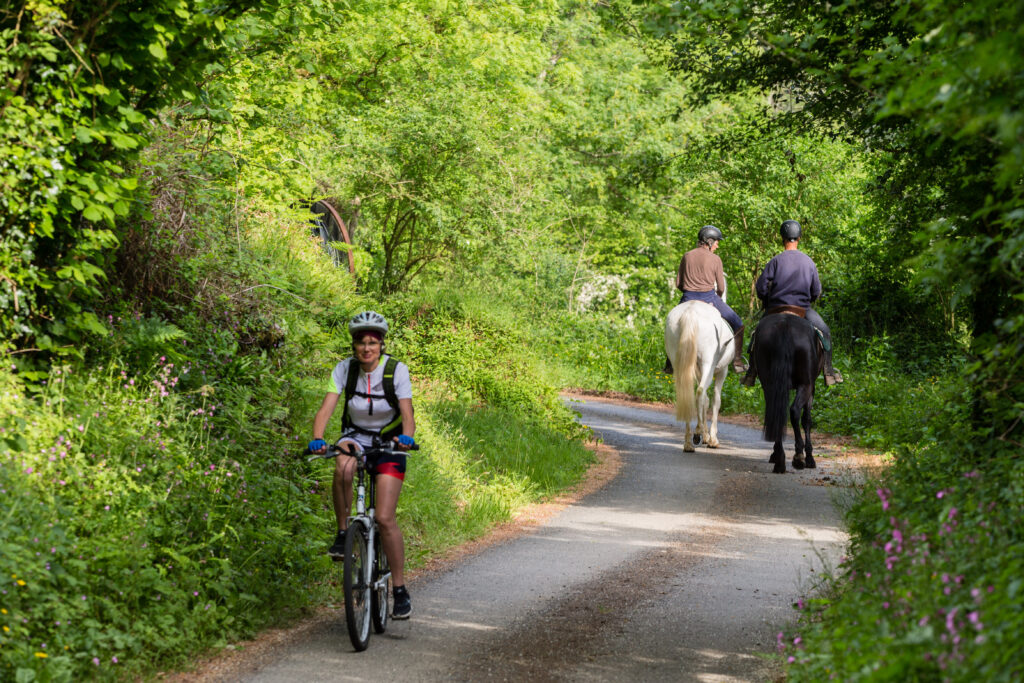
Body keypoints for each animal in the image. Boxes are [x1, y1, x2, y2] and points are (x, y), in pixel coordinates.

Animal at [663, 296, 737, 448]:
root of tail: (691, 311)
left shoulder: (697, 372)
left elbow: (706, 401)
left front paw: (706, 435)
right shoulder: (722, 371)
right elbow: (715, 400)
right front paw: (712, 438)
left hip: (681, 363)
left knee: (688, 394)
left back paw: (688, 442)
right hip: (708, 363)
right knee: (699, 392)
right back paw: (697, 433)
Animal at [753, 313, 823, 473]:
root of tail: (784, 325)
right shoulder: (811, 388)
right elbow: (807, 419)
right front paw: (810, 458)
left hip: (769, 383)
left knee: (776, 412)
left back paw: (780, 460)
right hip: (806, 384)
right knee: (795, 411)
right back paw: (798, 457)